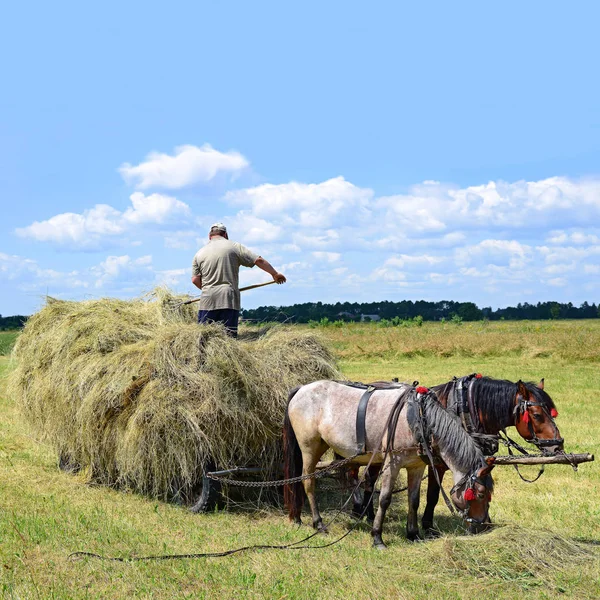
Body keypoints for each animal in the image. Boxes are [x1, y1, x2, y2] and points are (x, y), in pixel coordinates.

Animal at [284, 382, 494, 548]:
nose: (485, 527)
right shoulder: (392, 464)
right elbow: (384, 499)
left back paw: (297, 517)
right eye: (480, 494)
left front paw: (413, 534)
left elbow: (414, 500)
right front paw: (377, 536)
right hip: (309, 448)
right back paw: (318, 523)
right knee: (308, 482)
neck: (417, 419)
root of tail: (301, 388)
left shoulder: (416, 466)